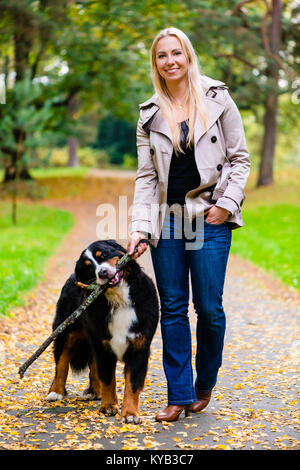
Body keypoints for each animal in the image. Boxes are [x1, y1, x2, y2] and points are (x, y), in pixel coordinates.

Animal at [45, 241, 159, 424]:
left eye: (104, 255)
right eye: (89, 267)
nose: (102, 272)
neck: (119, 300)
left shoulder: (139, 347)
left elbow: (132, 384)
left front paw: (130, 413)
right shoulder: (103, 346)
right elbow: (107, 378)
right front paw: (109, 406)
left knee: (92, 365)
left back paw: (95, 391)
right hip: (66, 331)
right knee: (61, 364)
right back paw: (55, 392)